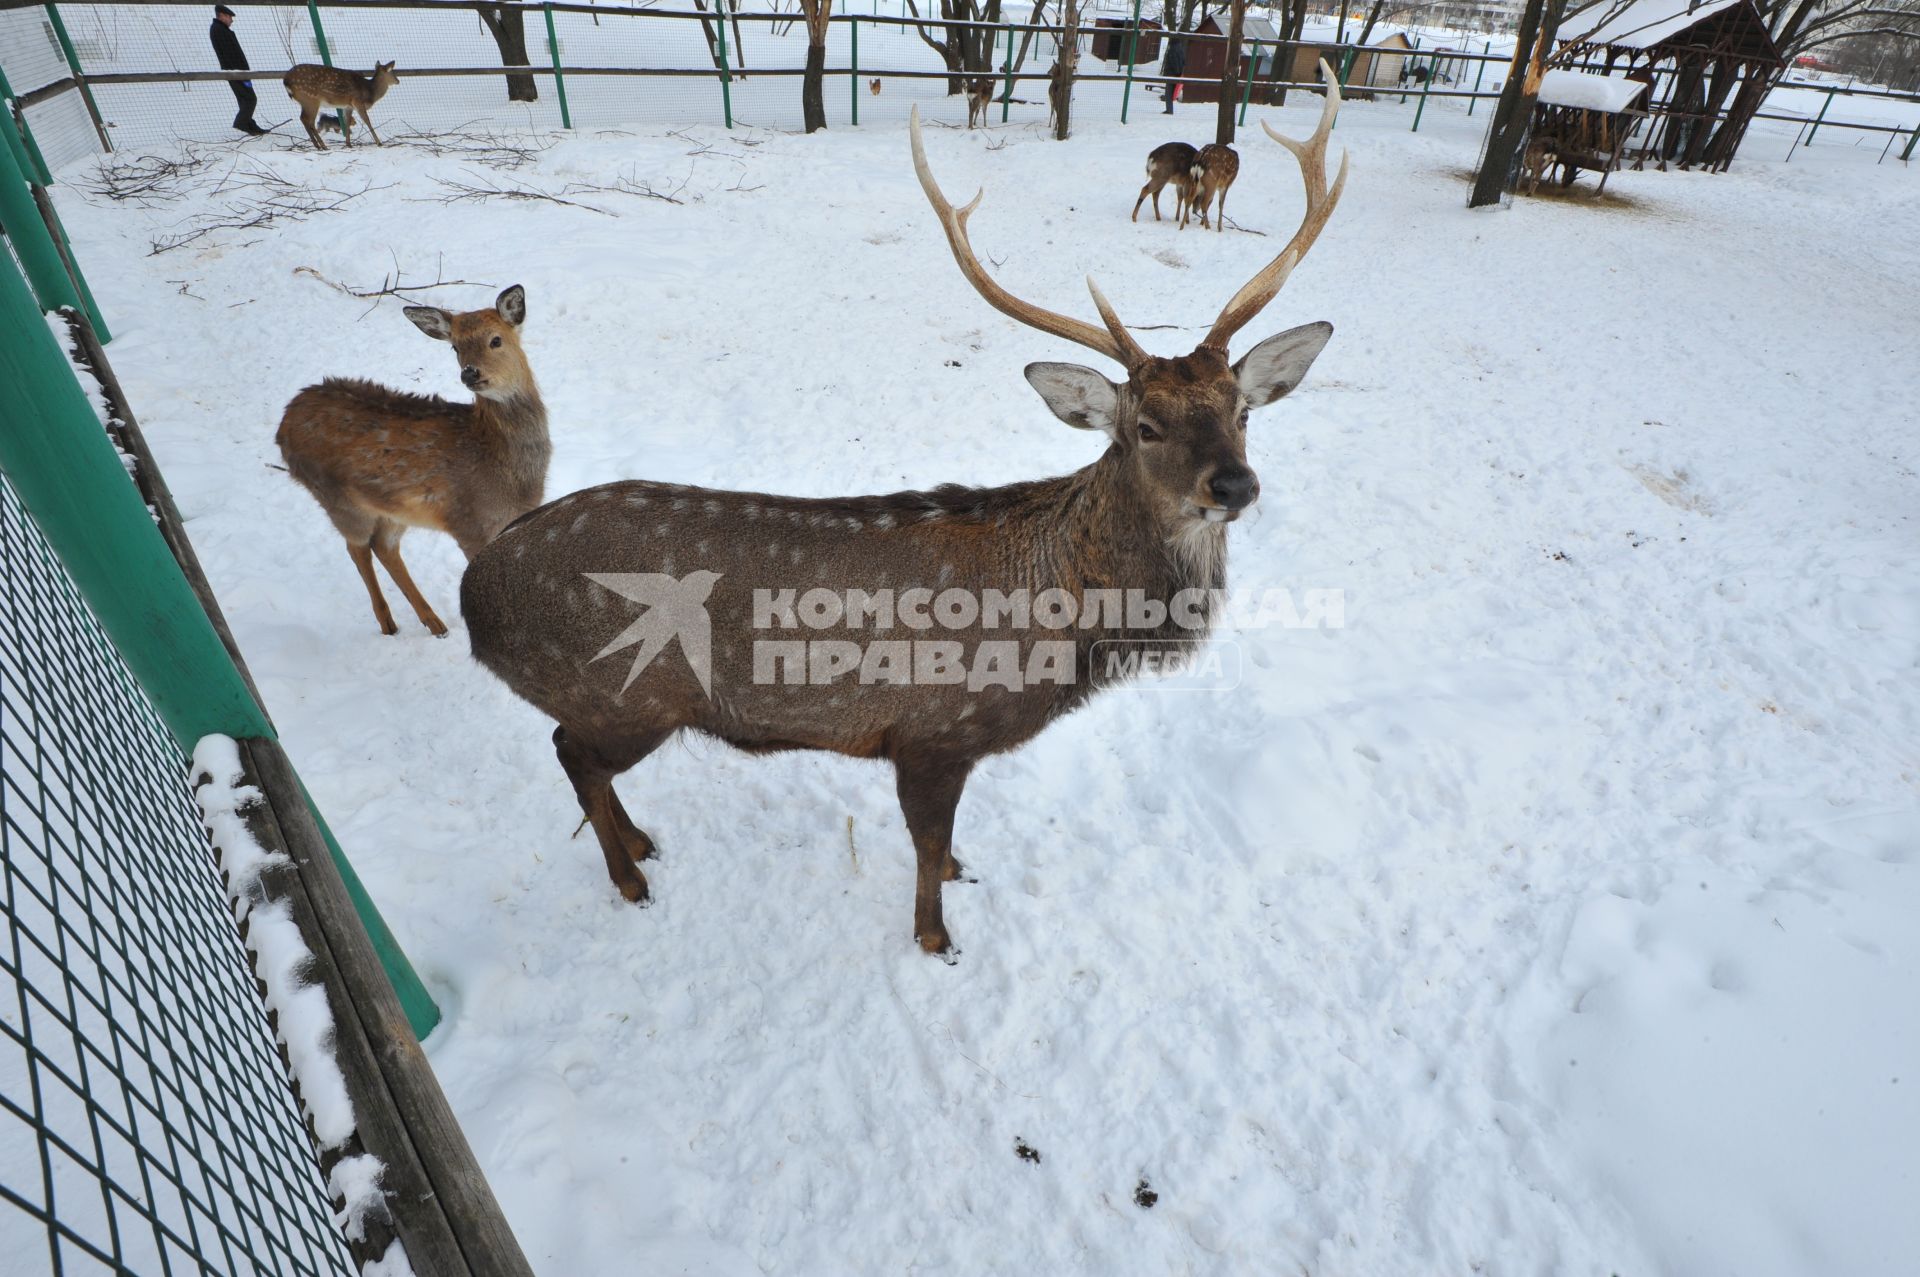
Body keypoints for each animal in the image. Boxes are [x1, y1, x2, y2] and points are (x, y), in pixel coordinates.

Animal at [276, 282, 549, 633]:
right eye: (455, 347)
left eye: (496, 340)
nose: (470, 374)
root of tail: (284, 422)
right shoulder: (467, 522)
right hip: (335, 498)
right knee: (357, 547)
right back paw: (389, 623)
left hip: (393, 508)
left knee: (383, 546)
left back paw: (434, 623)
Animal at [456, 62, 1344, 956]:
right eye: (1147, 426)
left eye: (1241, 410)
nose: (1233, 485)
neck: (1065, 631)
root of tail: (475, 591)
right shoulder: (933, 731)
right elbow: (925, 841)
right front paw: (935, 936)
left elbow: (944, 844)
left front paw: (958, 878)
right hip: (624, 695)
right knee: (573, 754)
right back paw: (630, 875)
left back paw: (641, 842)